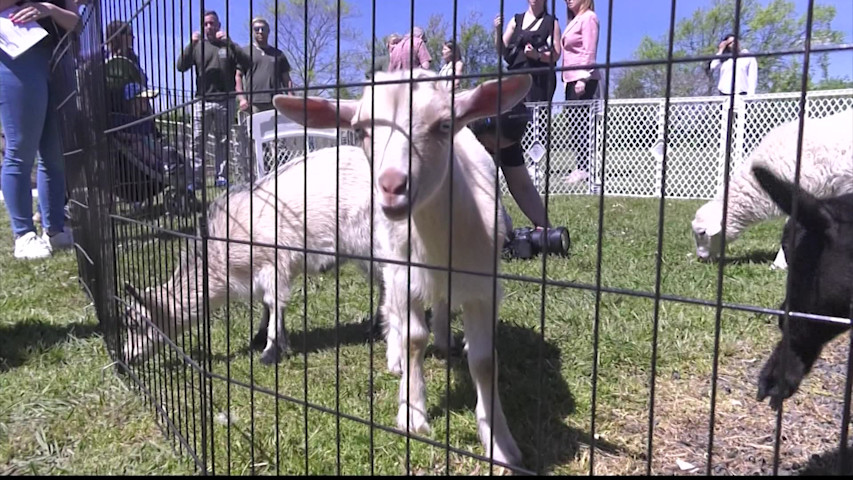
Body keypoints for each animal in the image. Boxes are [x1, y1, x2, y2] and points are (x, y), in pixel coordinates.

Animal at [121, 144, 382, 366]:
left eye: (136, 324)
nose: (127, 357)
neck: (219, 260)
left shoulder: (274, 265)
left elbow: (274, 302)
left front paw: (270, 352)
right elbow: (266, 304)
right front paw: (261, 337)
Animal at [272, 69, 532, 466]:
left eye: (444, 124)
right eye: (361, 129)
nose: (392, 186)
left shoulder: (483, 286)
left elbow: (485, 360)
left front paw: (500, 443)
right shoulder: (404, 274)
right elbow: (413, 339)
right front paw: (413, 412)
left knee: (440, 304)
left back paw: (444, 338)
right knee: (392, 309)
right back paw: (396, 357)